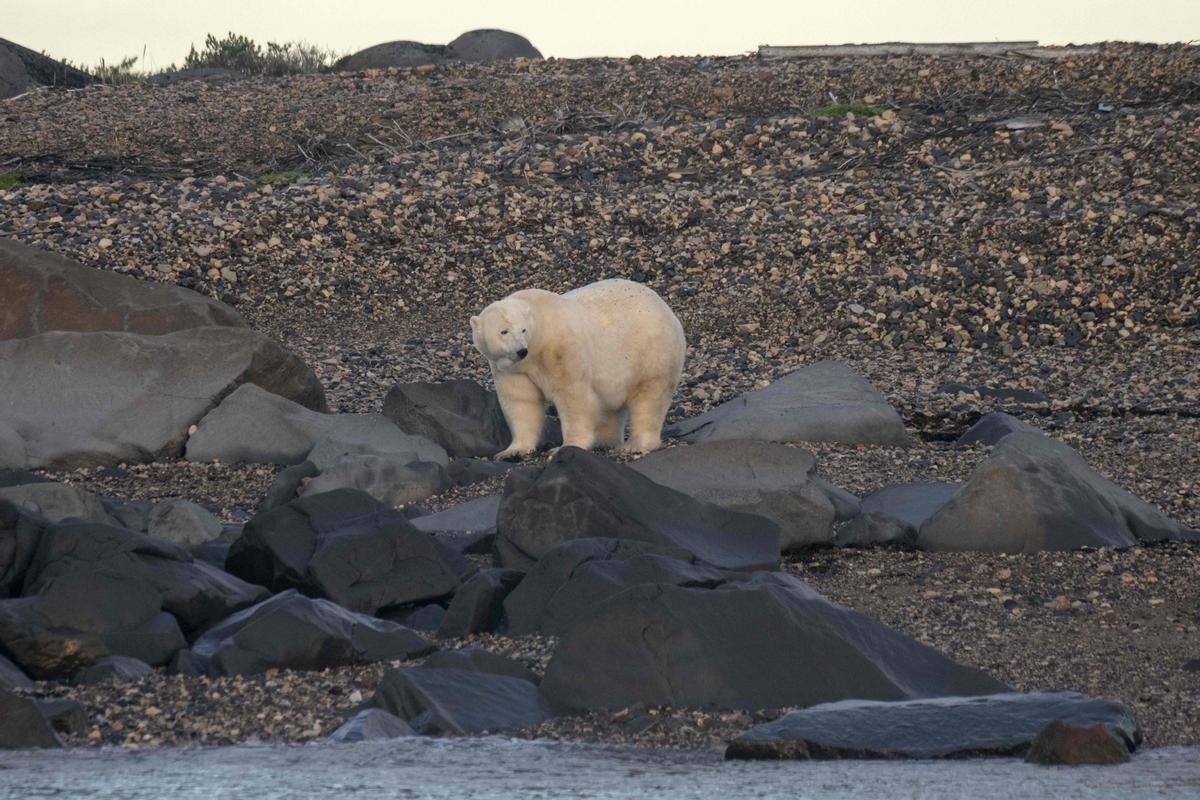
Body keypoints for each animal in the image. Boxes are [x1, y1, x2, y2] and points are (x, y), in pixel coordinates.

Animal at [472, 280, 691, 455]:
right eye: (504, 331)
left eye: (523, 329)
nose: (520, 350)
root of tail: (667, 309)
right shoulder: (512, 369)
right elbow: (521, 401)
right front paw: (512, 451)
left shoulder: (561, 349)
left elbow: (573, 397)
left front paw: (564, 447)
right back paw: (604, 441)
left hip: (652, 353)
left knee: (649, 398)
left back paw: (636, 444)